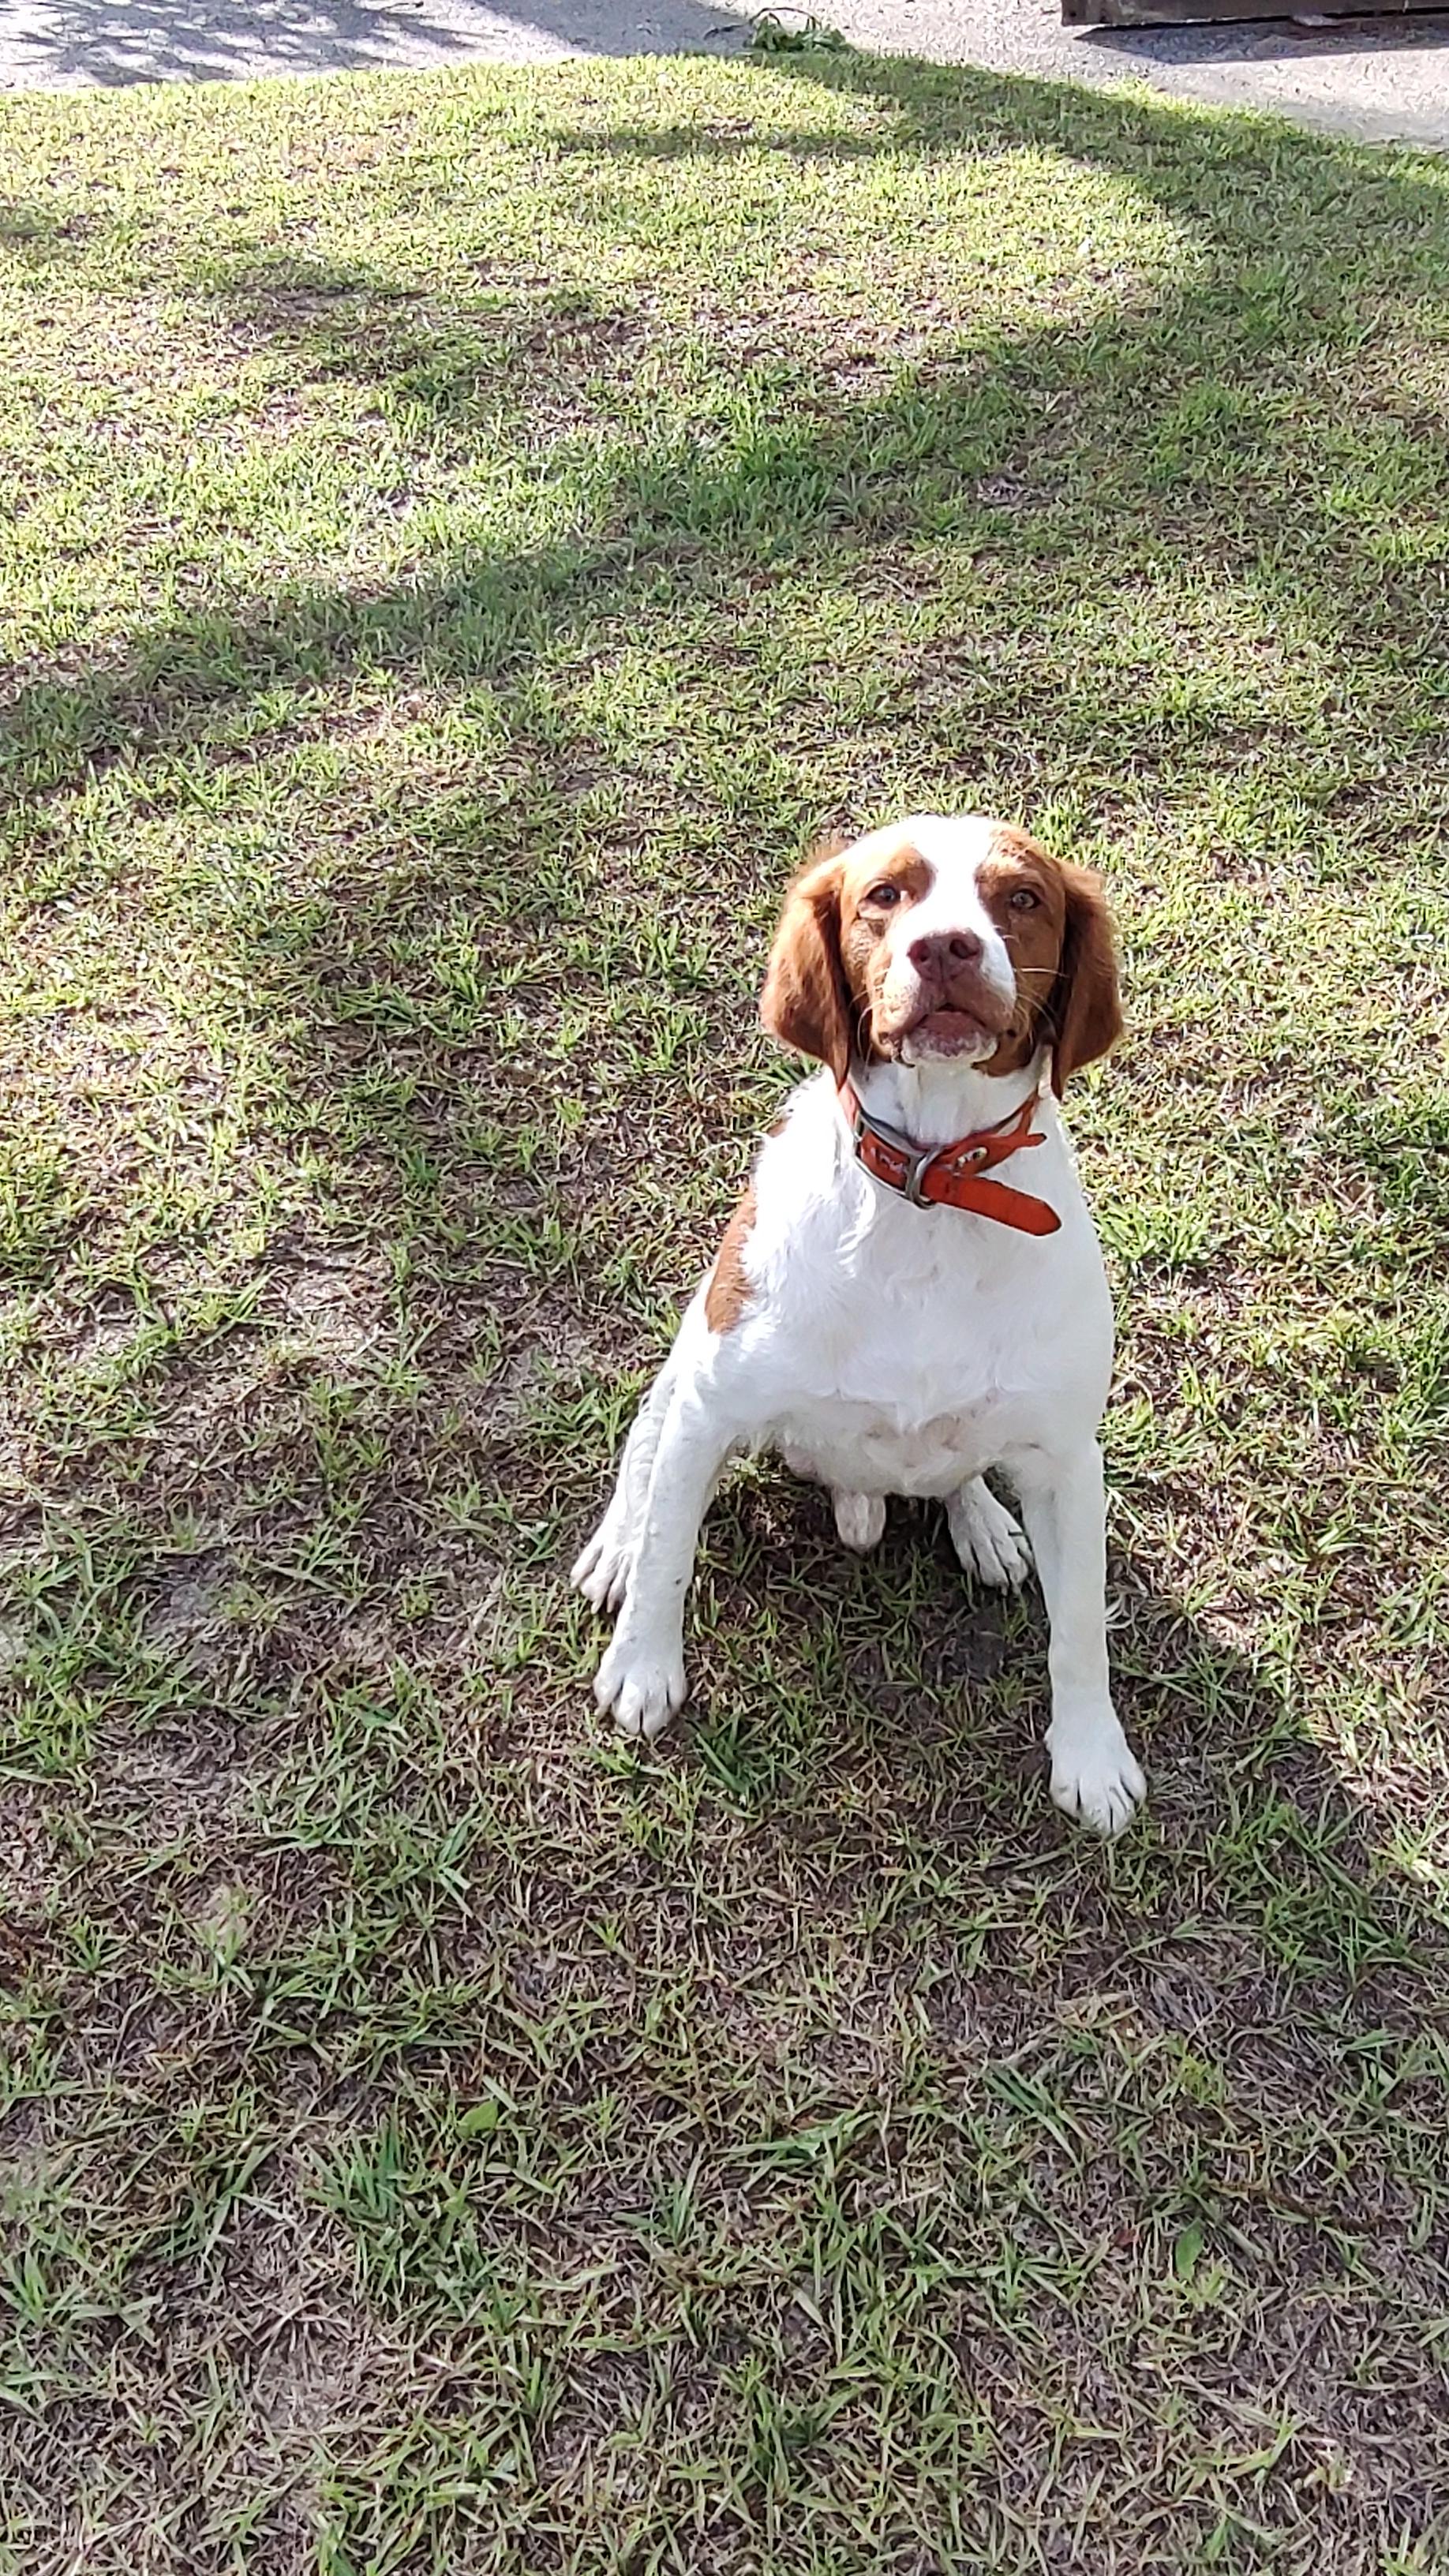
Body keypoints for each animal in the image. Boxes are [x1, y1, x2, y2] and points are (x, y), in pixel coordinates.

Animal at [572, 814, 1146, 1835]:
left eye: (1022, 898)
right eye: (885, 895)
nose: (946, 947)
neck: (932, 1188)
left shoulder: (1068, 1458)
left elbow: (1081, 1627)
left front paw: (1091, 1755)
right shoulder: (714, 1409)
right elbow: (671, 1554)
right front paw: (642, 1664)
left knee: (962, 1472)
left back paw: (984, 1523)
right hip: (691, 1365)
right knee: (647, 1450)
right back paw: (615, 1547)